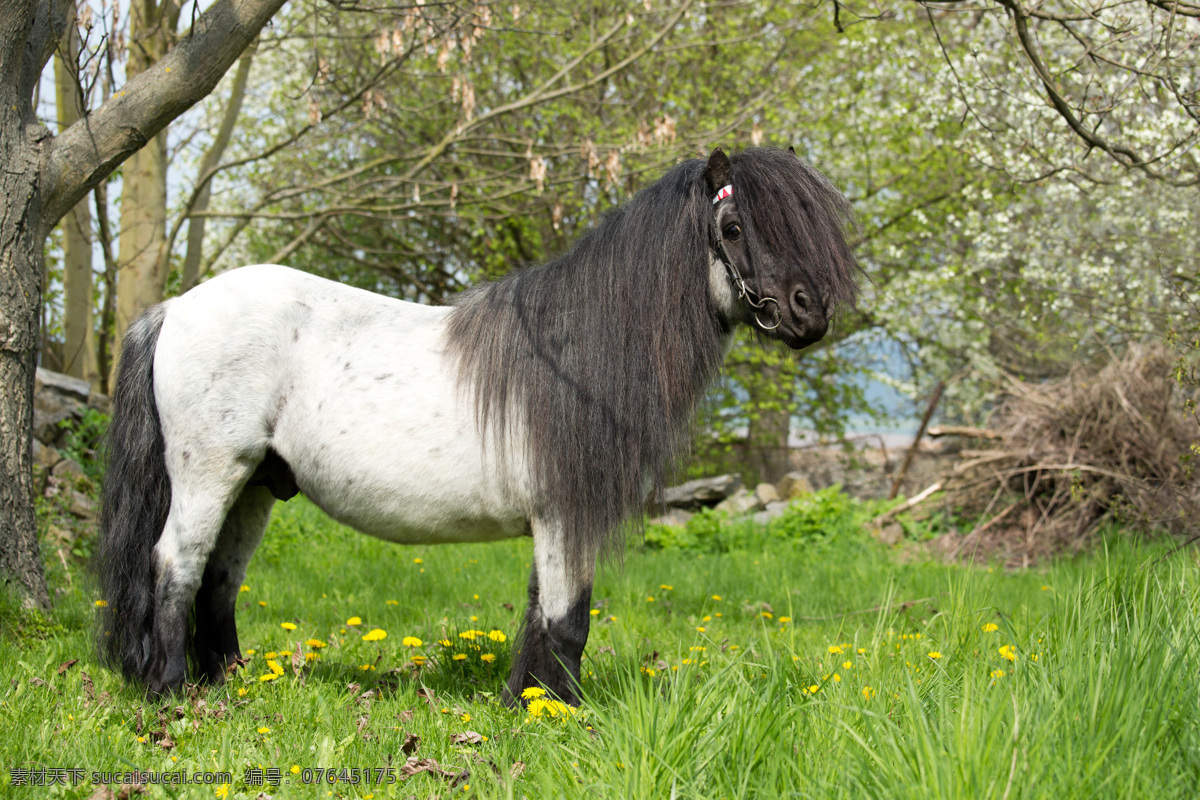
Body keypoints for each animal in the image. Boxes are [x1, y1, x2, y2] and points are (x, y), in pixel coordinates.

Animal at [98, 146, 859, 705]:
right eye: (733, 229)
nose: (809, 312)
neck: (577, 351)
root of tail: (174, 309)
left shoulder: (556, 519)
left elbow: (540, 614)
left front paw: (523, 700)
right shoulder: (565, 513)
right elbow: (567, 620)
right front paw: (560, 713)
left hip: (256, 485)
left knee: (219, 581)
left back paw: (230, 683)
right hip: (210, 474)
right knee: (176, 565)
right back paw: (171, 693)